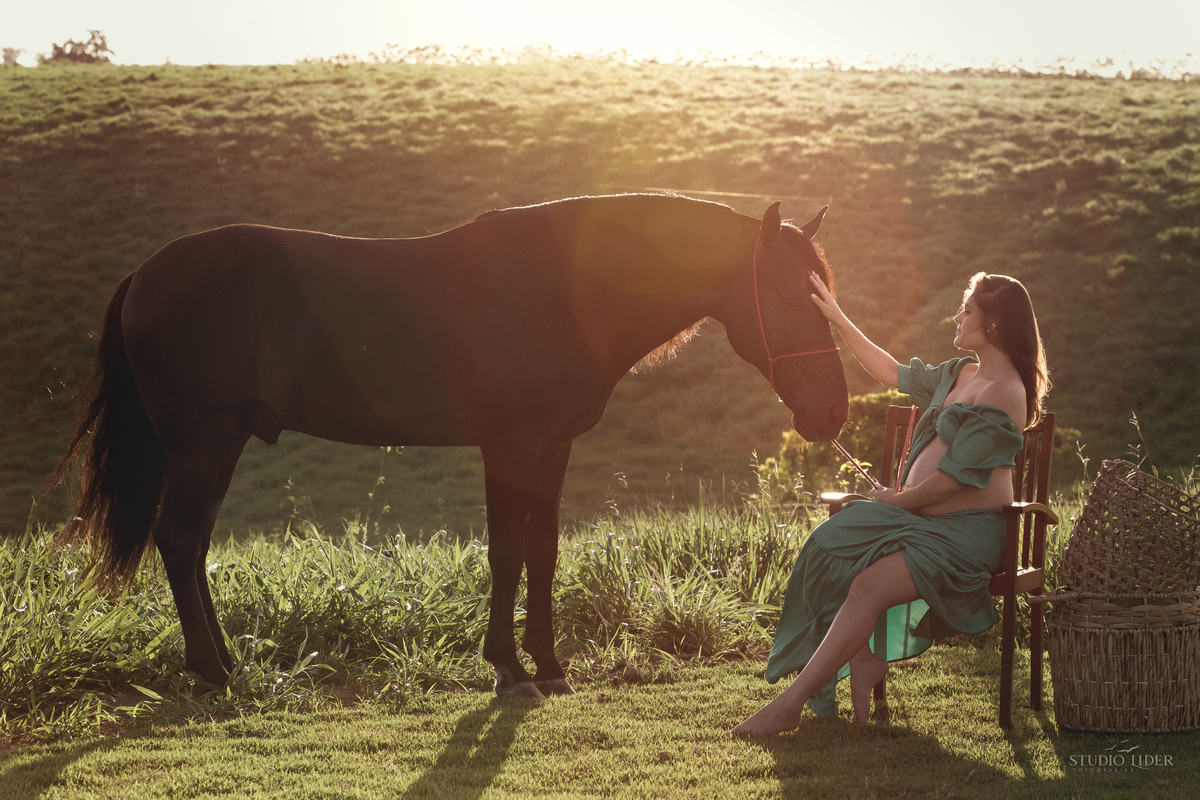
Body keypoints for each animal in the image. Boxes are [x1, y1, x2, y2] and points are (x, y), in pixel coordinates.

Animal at [49, 193, 849, 699]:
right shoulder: (508, 446)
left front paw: (548, 664)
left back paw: (221, 663)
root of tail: (145, 274)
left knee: (192, 545)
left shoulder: (549, 448)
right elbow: (505, 551)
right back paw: (211, 671)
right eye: (789, 297)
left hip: (221, 444)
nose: (832, 413)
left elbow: (542, 550)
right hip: (201, 443)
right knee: (180, 539)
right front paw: (509, 669)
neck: (557, 288)